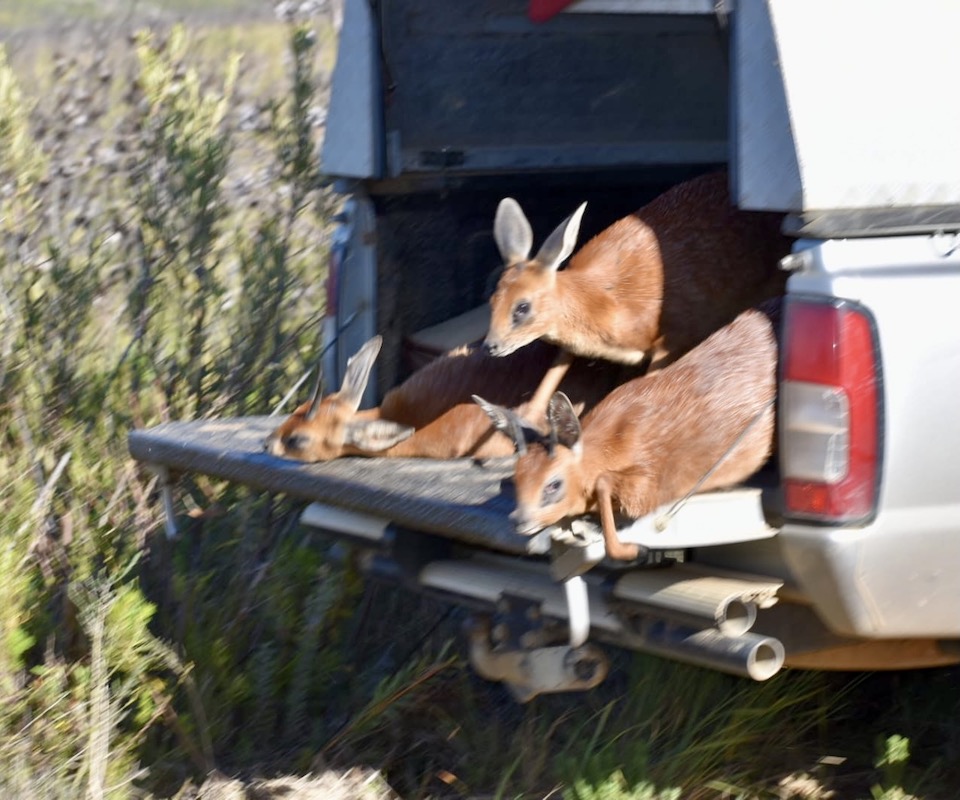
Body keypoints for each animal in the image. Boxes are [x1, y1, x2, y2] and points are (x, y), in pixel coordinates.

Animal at [476, 304, 779, 561]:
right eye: (517, 476)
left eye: (553, 484)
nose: (519, 520)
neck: (615, 443)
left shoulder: (651, 485)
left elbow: (604, 483)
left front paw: (634, 549)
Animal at [485, 171, 789, 421]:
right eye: (492, 301)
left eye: (522, 307)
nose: (490, 346)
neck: (605, 302)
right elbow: (554, 371)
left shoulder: (672, 339)